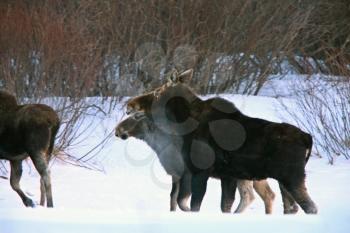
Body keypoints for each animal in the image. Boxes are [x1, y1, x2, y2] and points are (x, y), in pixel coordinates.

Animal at [116, 112, 274, 213]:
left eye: (136, 116)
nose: (117, 129)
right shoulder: (176, 175)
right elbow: (173, 200)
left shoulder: (189, 173)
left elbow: (183, 202)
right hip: (255, 178)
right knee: (268, 195)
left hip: (243, 176)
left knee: (249, 197)